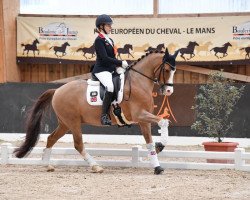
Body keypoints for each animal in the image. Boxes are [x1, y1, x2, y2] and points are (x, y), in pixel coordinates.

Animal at [14, 48, 179, 175]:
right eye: (166, 70)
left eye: (174, 71)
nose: (169, 91)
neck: (139, 82)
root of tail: (57, 90)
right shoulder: (140, 115)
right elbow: (164, 122)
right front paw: (160, 148)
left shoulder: (143, 120)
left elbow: (152, 140)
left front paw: (157, 161)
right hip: (73, 122)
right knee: (78, 144)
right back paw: (96, 166)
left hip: (65, 123)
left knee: (51, 139)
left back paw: (47, 164)